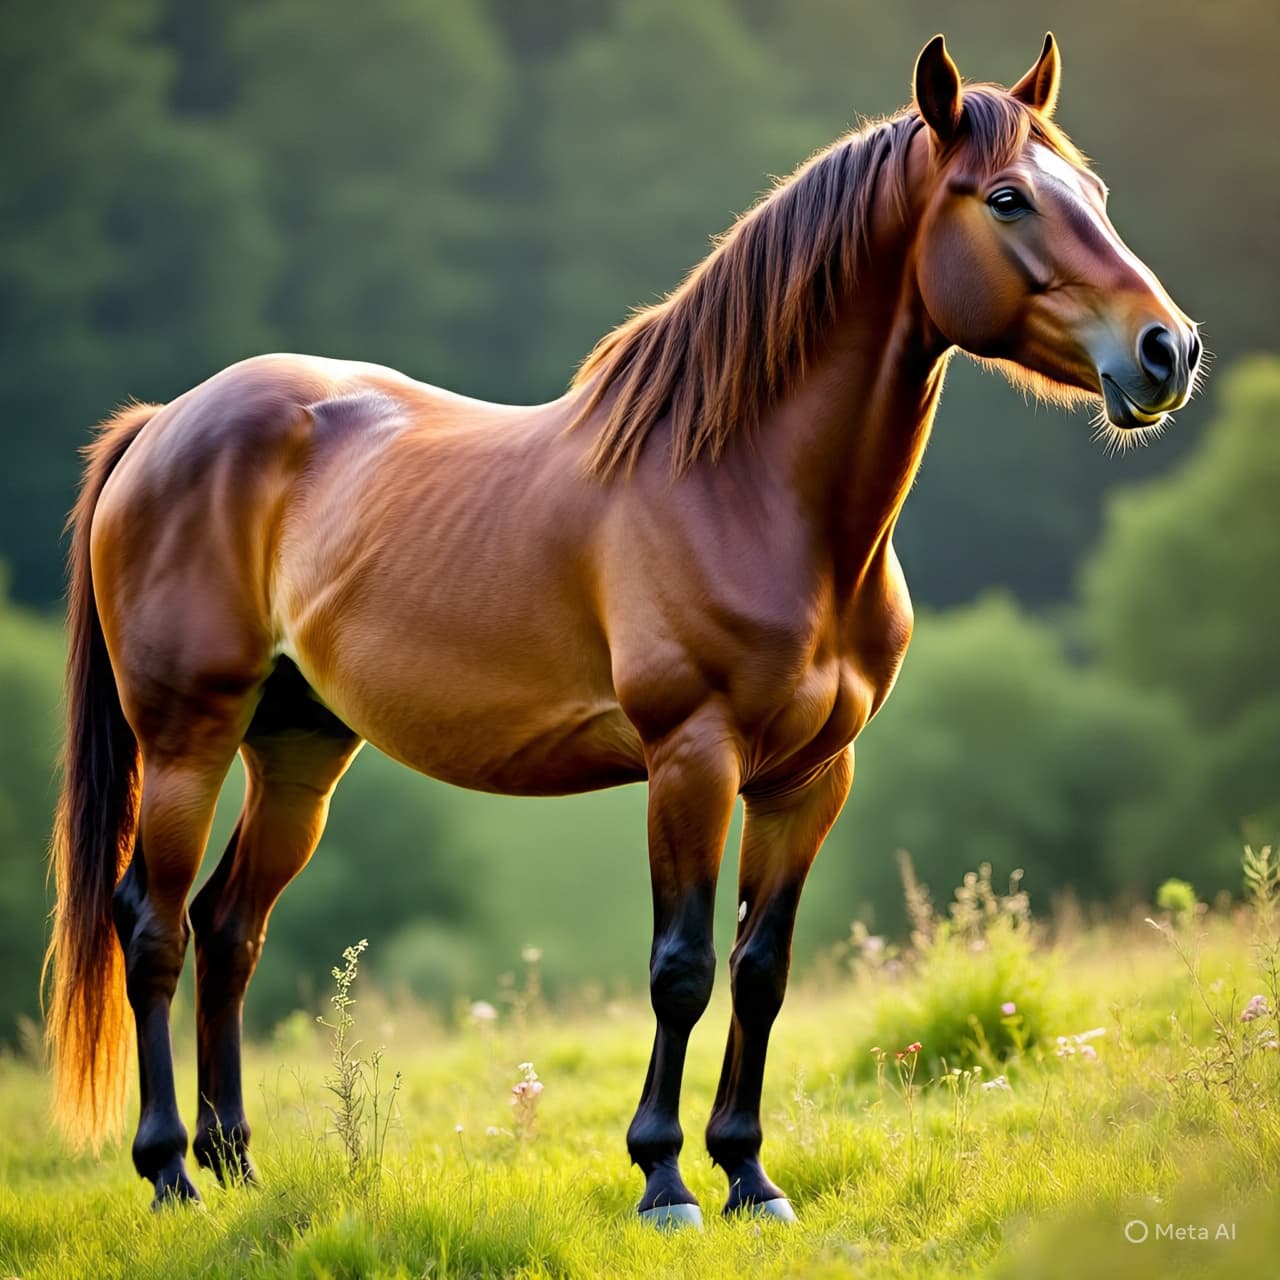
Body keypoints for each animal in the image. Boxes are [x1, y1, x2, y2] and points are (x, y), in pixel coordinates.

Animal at [45, 33, 1200, 1223]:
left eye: (1096, 196)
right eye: (1008, 198)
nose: (1167, 350)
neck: (749, 492)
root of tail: (164, 425)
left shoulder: (808, 777)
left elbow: (760, 968)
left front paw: (748, 1173)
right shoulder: (691, 758)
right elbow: (680, 967)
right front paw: (663, 1178)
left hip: (297, 749)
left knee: (231, 928)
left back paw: (235, 1163)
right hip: (188, 738)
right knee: (153, 929)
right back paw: (171, 1172)